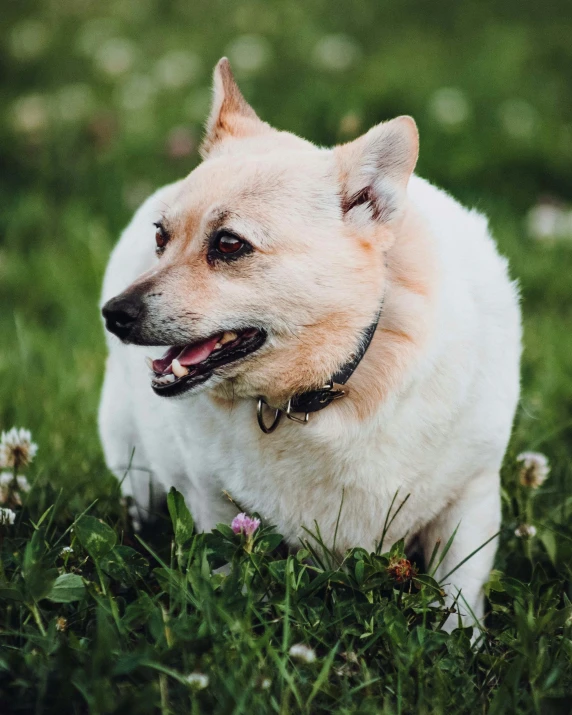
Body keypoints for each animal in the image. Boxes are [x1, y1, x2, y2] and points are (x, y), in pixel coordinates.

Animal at [99, 57, 524, 628]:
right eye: (161, 238)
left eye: (228, 244)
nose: (113, 315)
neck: (321, 394)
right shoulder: (214, 506)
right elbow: (226, 576)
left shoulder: (472, 499)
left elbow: (460, 600)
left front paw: (463, 643)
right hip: (138, 473)